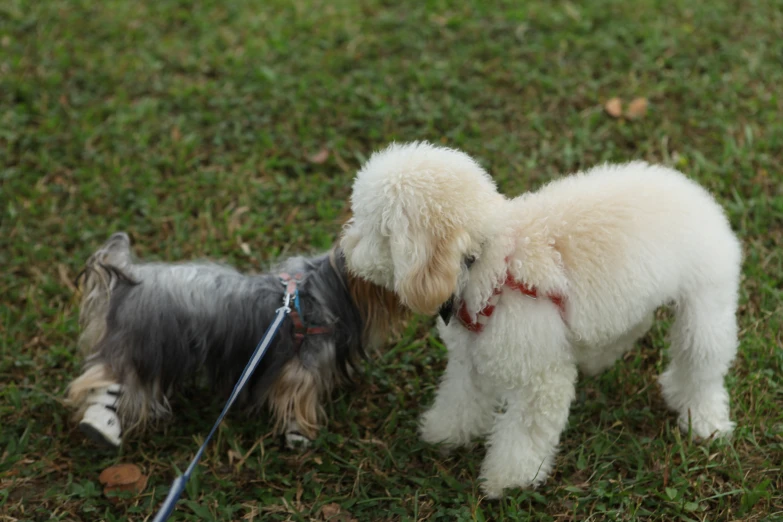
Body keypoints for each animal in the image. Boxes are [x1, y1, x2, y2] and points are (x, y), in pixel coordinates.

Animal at [342, 141, 740, 496]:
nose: (345, 251)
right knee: (636, 326)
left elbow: (525, 433)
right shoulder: (472, 357)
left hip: (706, 306)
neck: (489, 260)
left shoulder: (540, 379)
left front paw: (509, 480)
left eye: (375, 228)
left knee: (702, 366)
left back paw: (705, 419)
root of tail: (695, 191)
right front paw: (446, 432)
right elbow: (461, 398)